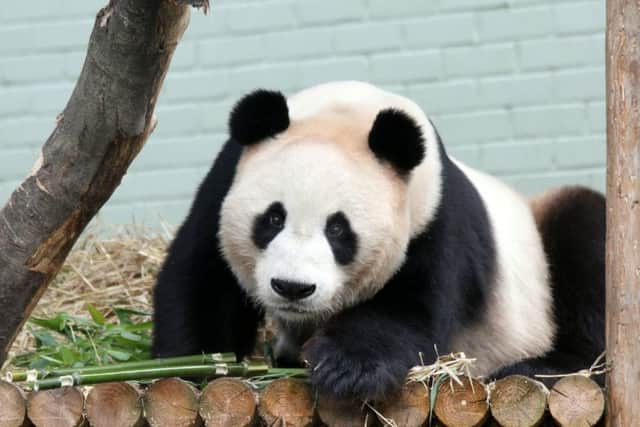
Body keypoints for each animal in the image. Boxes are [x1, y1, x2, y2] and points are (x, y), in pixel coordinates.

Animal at [152, 81, 605, 400]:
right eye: (273, 218)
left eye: (338, 229)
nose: (292, 288)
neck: (349, 112)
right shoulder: (224, 181)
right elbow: (201, 279)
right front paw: (195, 365)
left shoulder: (433, 215)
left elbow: (410, 308)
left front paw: (346, 370)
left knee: (586, 241)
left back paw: (538, 368)